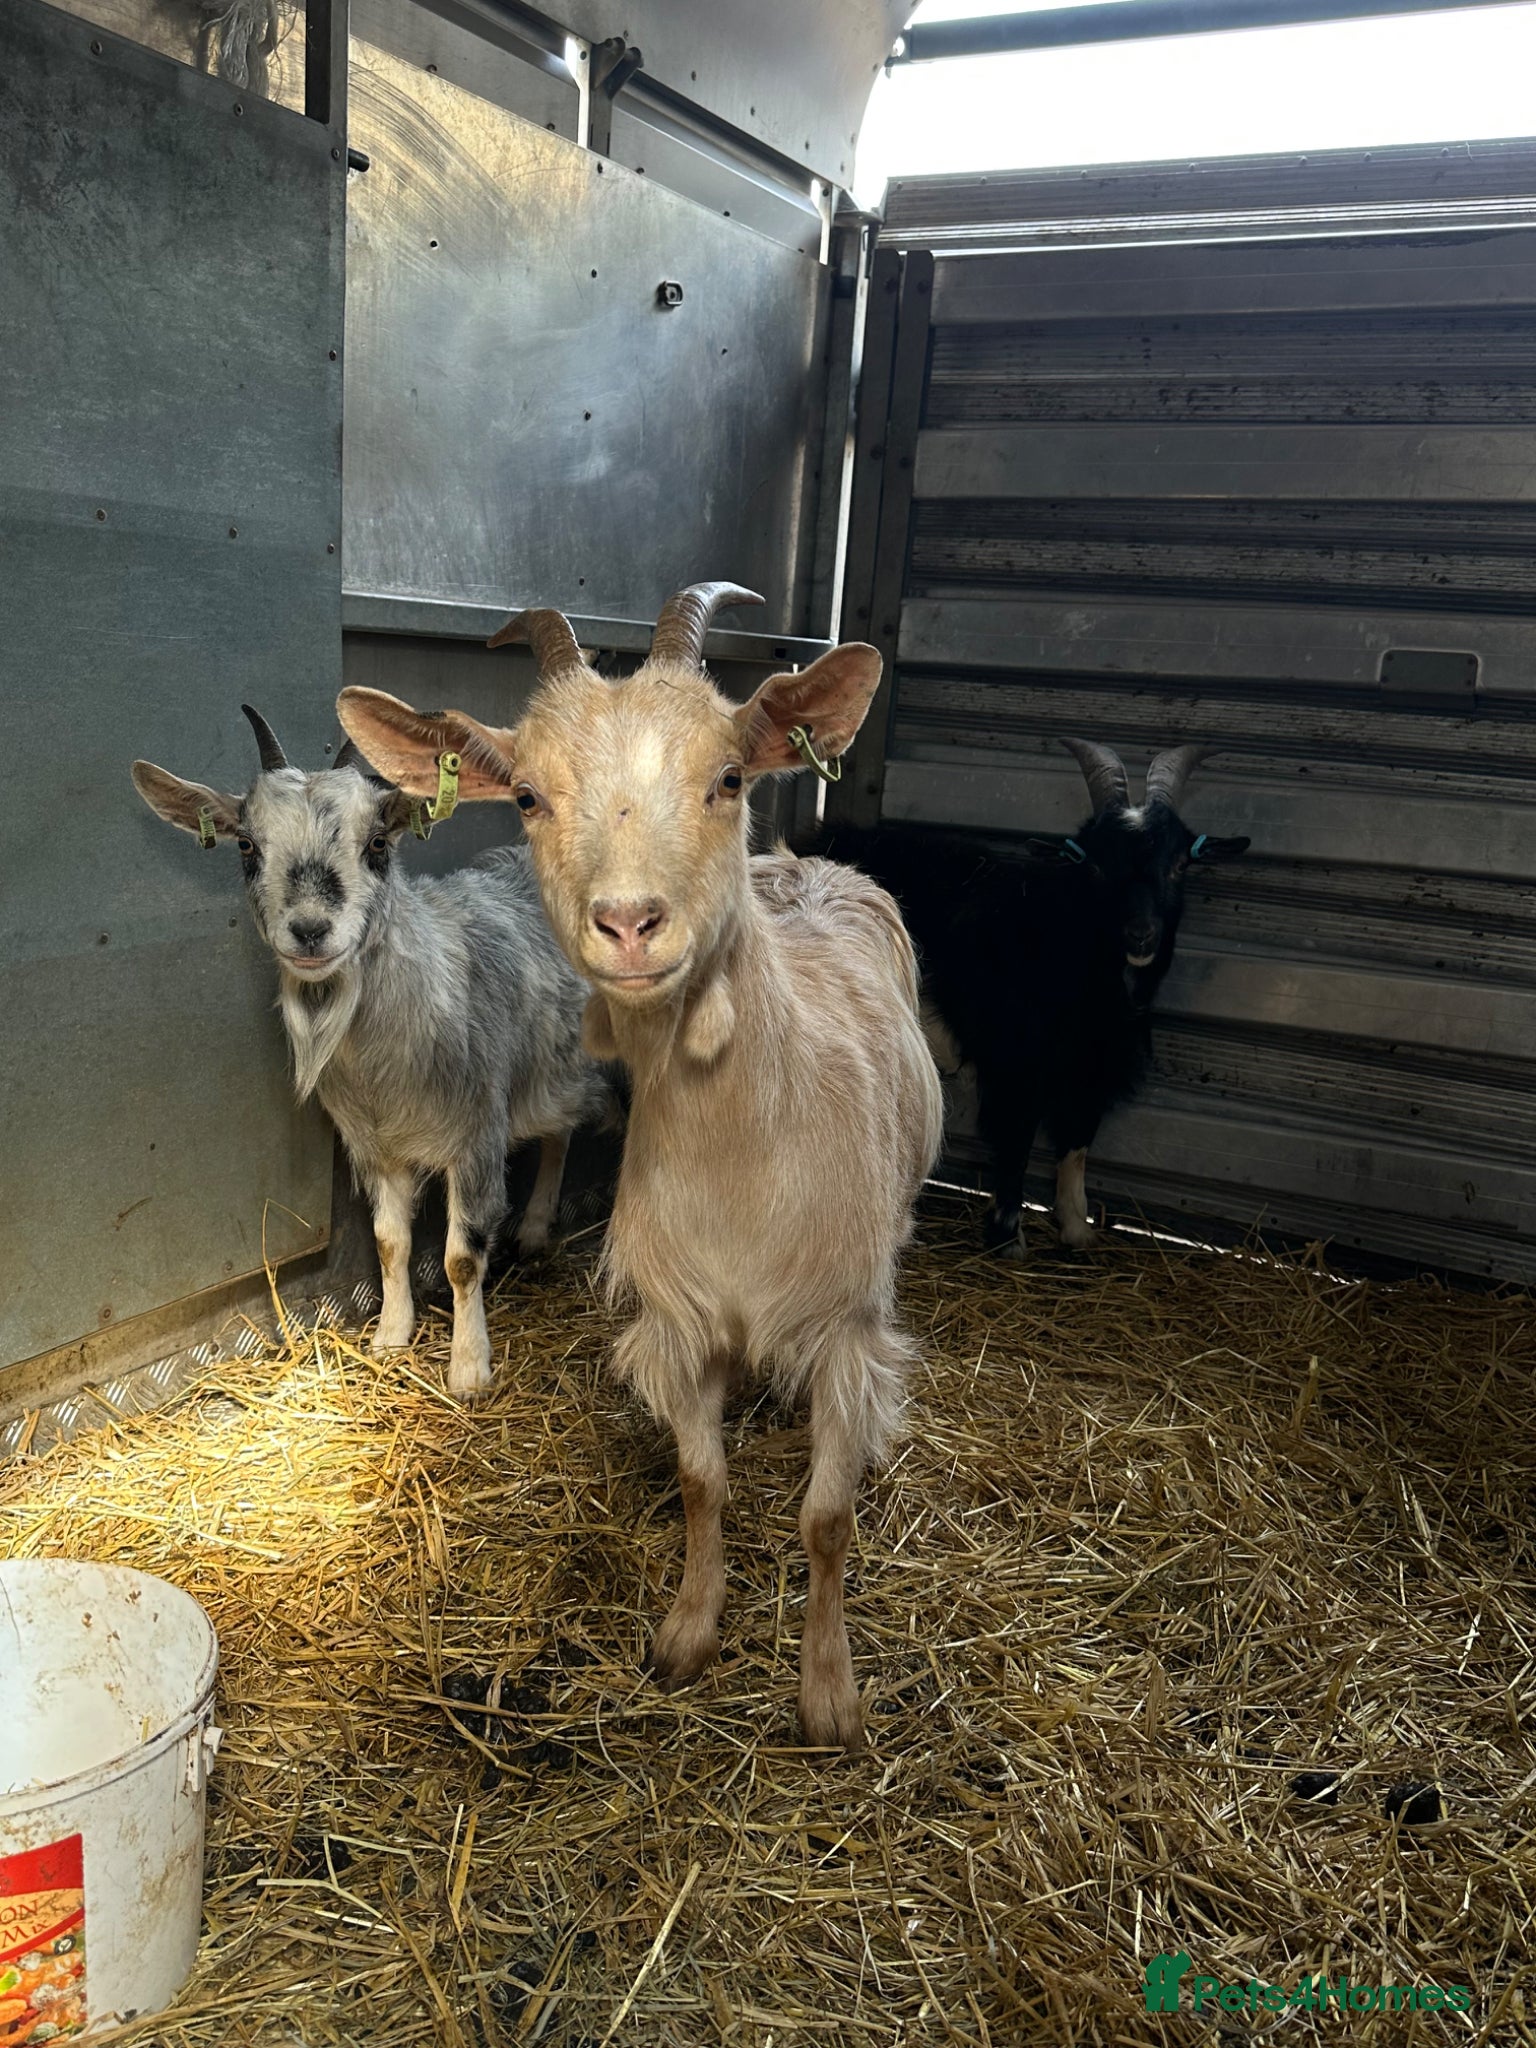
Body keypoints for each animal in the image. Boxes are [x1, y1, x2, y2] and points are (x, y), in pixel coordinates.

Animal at [131, 707, 617, 1394]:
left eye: (379, 842)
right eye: (247, 846)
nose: (310, 930)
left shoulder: (476, 1134)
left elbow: (462, 1256)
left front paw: (469, 1369)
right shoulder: (376, 1145)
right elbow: (390, 1241)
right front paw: (390, 1336)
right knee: (559, 1131)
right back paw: (535, 1228)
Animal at [336, 585, 943, 1751]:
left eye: (728, 776)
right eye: (529, 795)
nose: (627, 922)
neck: (749, 1158)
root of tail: (808, 863)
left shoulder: (845, 1321)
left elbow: (827, 1517)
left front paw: (829, 1694)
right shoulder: (678, 1315)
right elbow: (703, 1482)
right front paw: (688, 1634)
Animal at [824, 740, 1248, 1258]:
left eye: (1180, 863)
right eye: (1095, 865)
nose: (1141, 935)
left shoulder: (1092, 1068)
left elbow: (1077, 1143)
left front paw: (1077, 1227)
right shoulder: (1017, 1065)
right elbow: (1016, 1140)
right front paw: (1007, 1235)